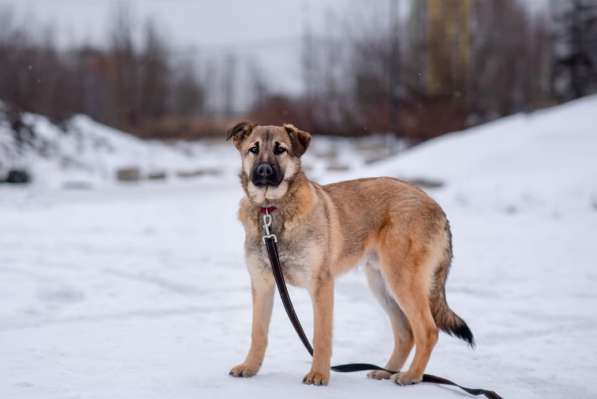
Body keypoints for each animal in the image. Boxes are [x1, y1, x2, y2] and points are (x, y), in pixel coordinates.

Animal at [226, 122, 472, 388]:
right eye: (253, 149)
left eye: (280, 149)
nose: (264, 170)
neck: (270, 211)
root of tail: (435, 204)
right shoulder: (263, 284)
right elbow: (258, 332)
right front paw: (250, 367)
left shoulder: (321, 285)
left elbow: (321, 336)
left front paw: (319, 374)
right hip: (381, 284)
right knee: (406, 333)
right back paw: (386, 372)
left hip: (402, 281)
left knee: (427, 331)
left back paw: (411, 376)